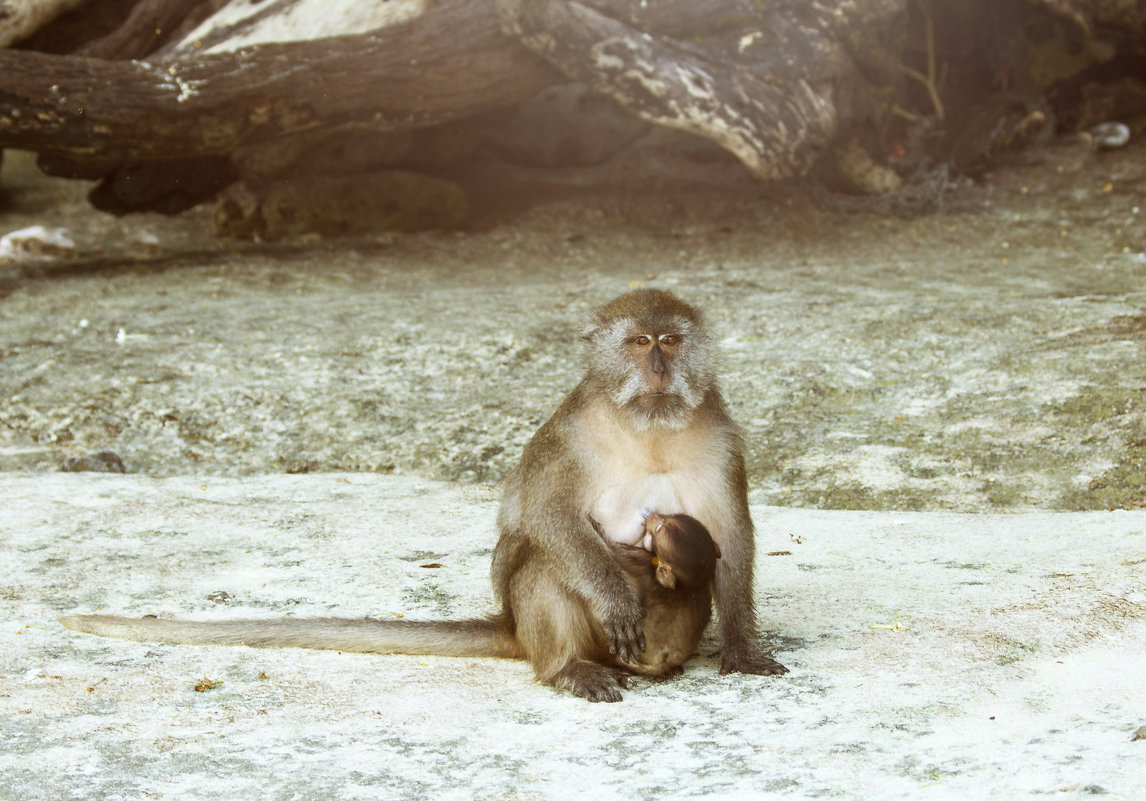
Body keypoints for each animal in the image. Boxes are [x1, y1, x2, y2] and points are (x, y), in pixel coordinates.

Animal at [488, 286, 783, 696]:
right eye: (641, 342)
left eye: (670, 341)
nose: (659, 370)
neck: (649, 429)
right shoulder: (571, 435)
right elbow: (549, 513)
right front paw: (617, 601)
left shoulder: (721, 439)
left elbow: (729, 534)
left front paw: (741, 647)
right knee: (542, 559)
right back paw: (569, 667)